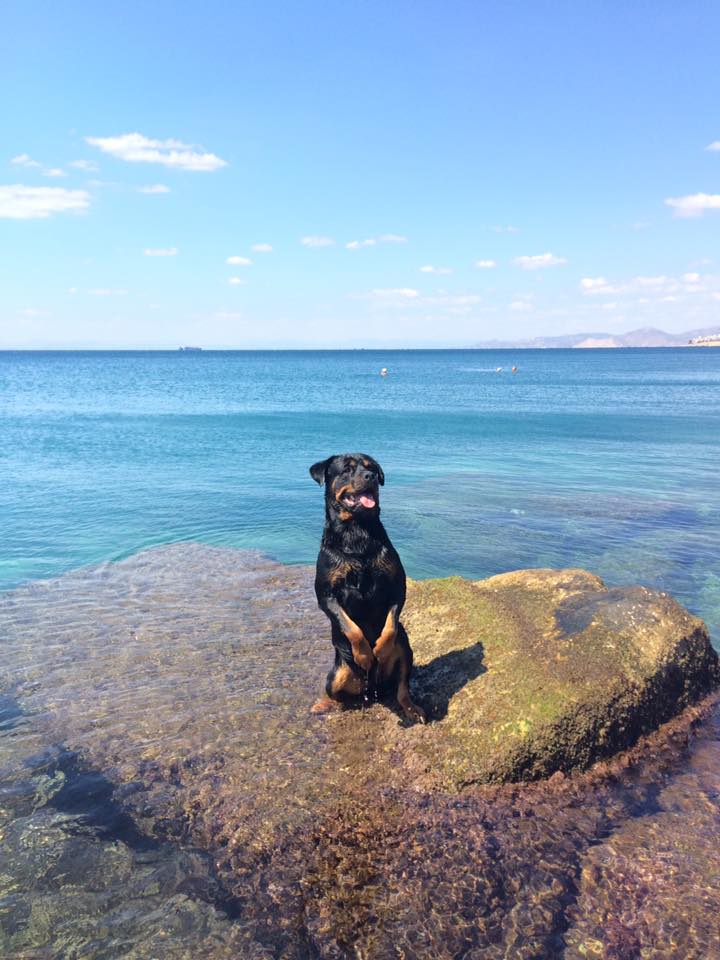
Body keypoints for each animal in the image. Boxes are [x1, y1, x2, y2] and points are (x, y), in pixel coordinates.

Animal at [308, 452, 422, 720]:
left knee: (402, 688)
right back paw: (324, 703)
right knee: (338, 696)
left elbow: (390, 625)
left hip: (406, 651)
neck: (356, 531)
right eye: (347, 469)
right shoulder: (326, 595)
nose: (370, 477)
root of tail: (372, 688)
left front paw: (379, 650)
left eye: (372, 469)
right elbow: (350, 627)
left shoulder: (396, 588)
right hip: (336, 677)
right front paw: (364, 654)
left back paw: (413, 709)